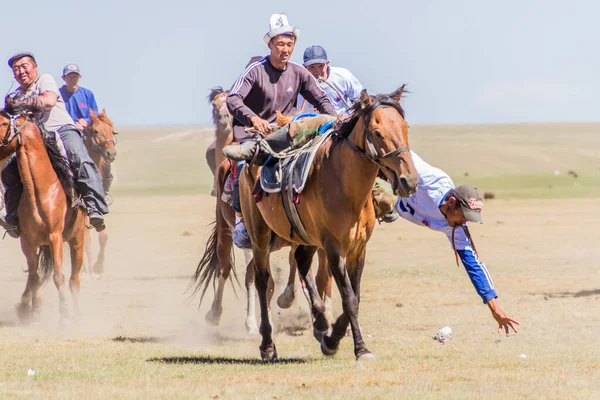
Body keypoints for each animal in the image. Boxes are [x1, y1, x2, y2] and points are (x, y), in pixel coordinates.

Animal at [0, 100, 86, 324]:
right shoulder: (28, 242)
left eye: (3, 122)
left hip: (77, 239)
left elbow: (58, 277)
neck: (41, 192)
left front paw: (64, 316)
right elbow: (35, 277)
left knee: (74, 279)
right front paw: (31, 311)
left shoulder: (55, 238)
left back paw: (78, 314)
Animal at [238, 86, 418, 360]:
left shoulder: (358, 249)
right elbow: (349, 299)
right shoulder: (333, 247)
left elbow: (354, 296)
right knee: (261, 280)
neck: (345, 184)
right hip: (259, 236)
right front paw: (358, 348)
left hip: (307, 237)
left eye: (405, 127)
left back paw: (321, 323)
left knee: (301, 263)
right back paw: (268, 345)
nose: (410, 181)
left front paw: (331, 338)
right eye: (377, 133)